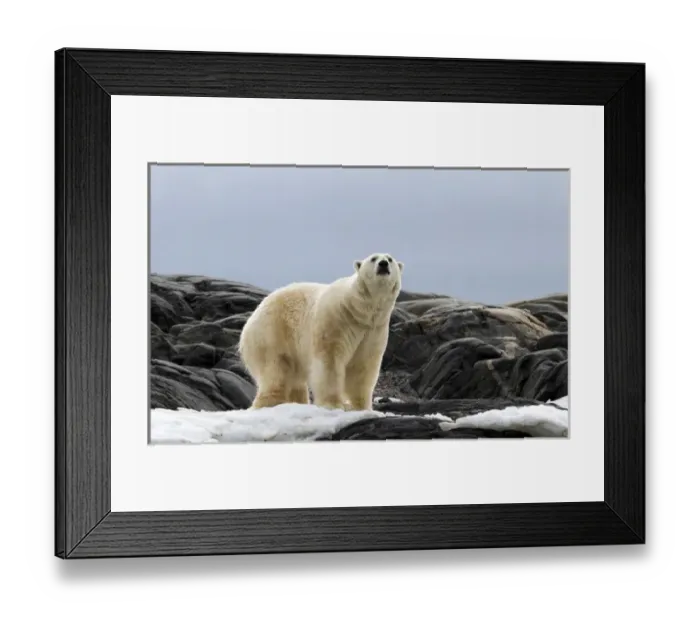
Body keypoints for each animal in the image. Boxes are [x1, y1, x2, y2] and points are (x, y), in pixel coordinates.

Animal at [238, 252, 404, 412]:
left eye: (390, 259)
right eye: (373, 258)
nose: (383, 264)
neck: (358, 310)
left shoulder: (373, 330)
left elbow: (362, 366)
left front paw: (362, 407)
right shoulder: (336, 321)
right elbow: (329, 361)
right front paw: (334, 404)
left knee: (295, 379)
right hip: (272, 332)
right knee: (275, 370)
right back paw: (270, 401)